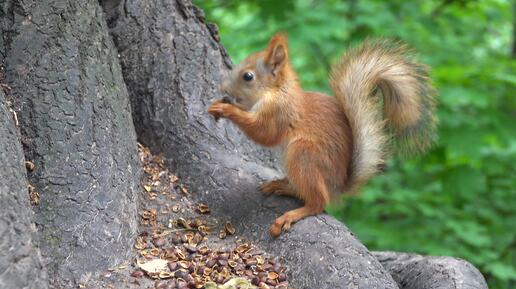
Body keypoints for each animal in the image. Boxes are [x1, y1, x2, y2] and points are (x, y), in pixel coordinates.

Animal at [208, 32, 438, 235]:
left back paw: (293, 213)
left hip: (303, 154)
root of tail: (338, 185)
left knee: (318, 202)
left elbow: (264, 133)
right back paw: (282, 186)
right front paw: (221, 104)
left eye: (248, 76)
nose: (223, 87)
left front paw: (227, 109)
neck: (276, 92)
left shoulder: (279, 113)